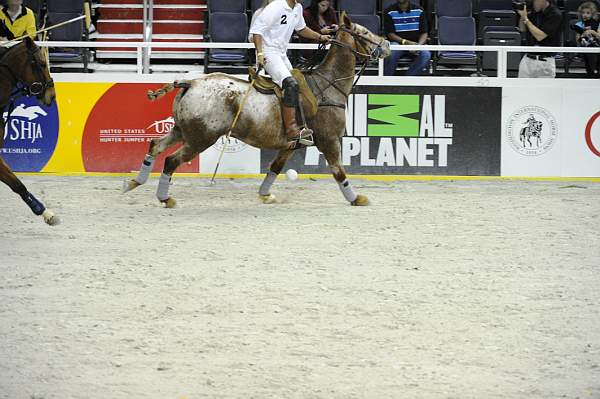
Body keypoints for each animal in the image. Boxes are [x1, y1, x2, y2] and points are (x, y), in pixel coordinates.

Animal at [124, 12, 392, 208]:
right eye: (364, 32)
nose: (387, 44)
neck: (328, 85)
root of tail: (190, 82)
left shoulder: (290, 144)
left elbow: (274, 168)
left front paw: (265, 194)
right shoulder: (329, 140)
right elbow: (338, 171)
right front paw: (356, 198)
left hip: (182, 129)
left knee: (155, 145)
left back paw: (135, 181)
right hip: (201, 137)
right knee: (171, 160)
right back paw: (164, 197)